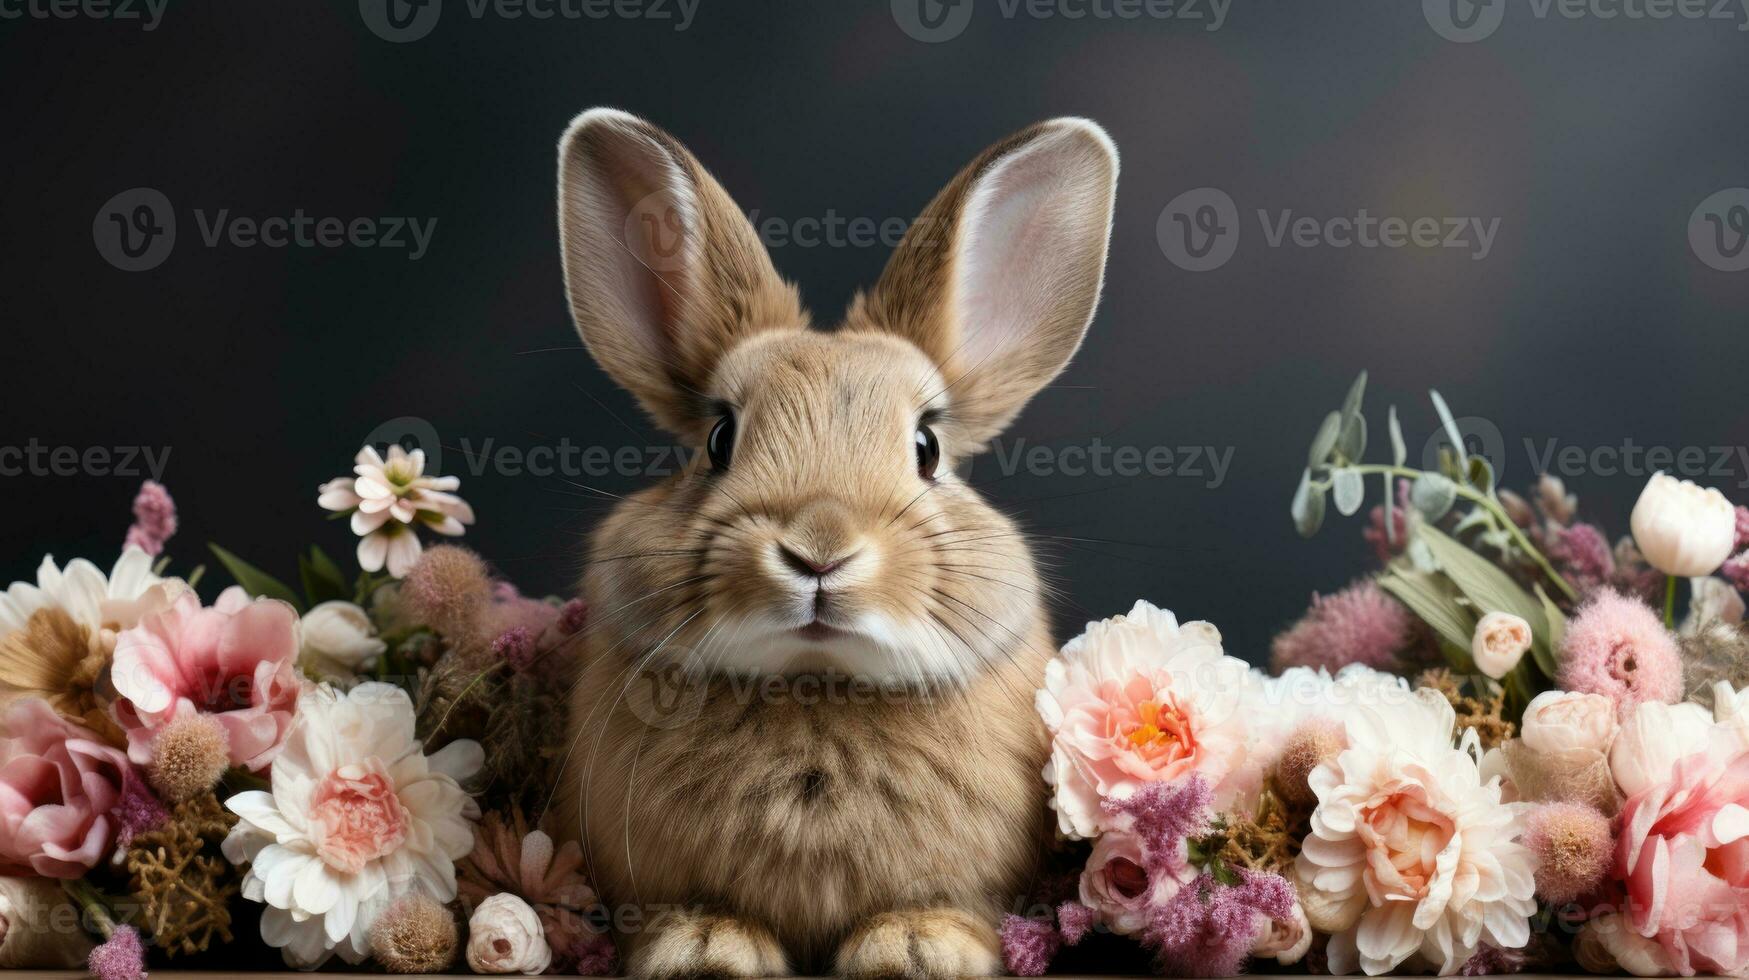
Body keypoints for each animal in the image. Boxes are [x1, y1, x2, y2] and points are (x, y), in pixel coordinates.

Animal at [552, 108, 1112, 980]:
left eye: (926, 449)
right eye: (717, 440)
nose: (818, 551)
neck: (817, 685)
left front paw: (919, 946)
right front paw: (702, 946)